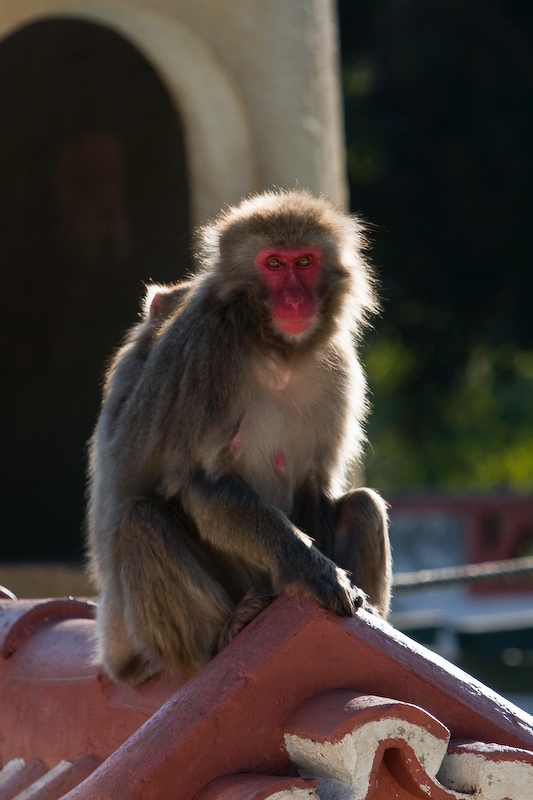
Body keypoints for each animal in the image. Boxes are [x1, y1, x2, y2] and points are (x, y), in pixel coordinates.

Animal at [86, 189, 391, 685]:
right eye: (274, 265)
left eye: (304, 262)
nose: (294, 299)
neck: (279, 351)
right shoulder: (207, 352)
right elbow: (202, 481)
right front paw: (314, 571)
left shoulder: (339, 365)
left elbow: (316, 481)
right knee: (139, 521)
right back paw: (222, 639)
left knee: (363, 504)